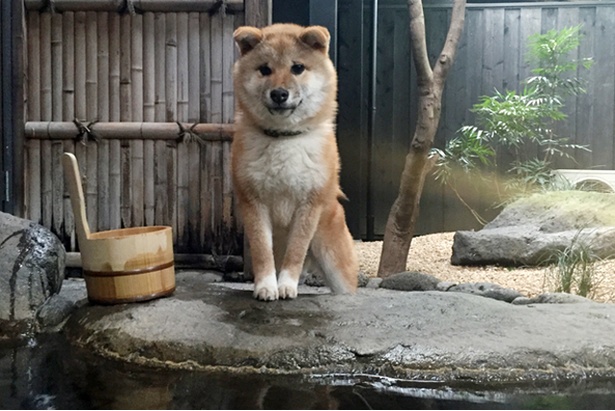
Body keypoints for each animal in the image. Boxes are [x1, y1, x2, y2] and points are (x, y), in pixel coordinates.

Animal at [231, 24, 358, 300]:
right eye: (265, 69)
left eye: (297, 67)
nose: (279, 93)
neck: (284, 139)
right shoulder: (253, 202)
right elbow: (262, 251)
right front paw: (266, 286)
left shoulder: (309, 204)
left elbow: (296, 251)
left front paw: (287, 285)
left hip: (336, 264)